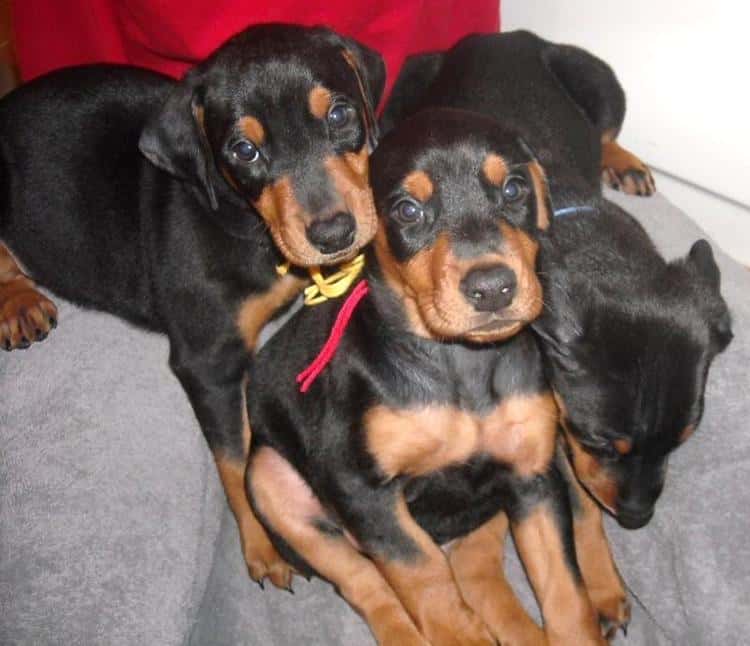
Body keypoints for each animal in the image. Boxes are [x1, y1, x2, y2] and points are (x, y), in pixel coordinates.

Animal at [0, 24, 384, 588]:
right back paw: (18, 302)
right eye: (244, 150)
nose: (335, 233)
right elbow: (235, 461)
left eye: (339, 115)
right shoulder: (209, 363)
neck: (246, 223)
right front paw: (263, 545)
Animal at [244, 109, 608, 644]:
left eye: (514, 188)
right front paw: (461, 635)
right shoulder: (360, 487)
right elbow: (422, 571)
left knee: (477, 576)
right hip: (272, 483)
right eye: (408, 211)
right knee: (368, 583)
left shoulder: (532, 478)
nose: (493, 288)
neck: (462, 367)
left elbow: (566, 592)